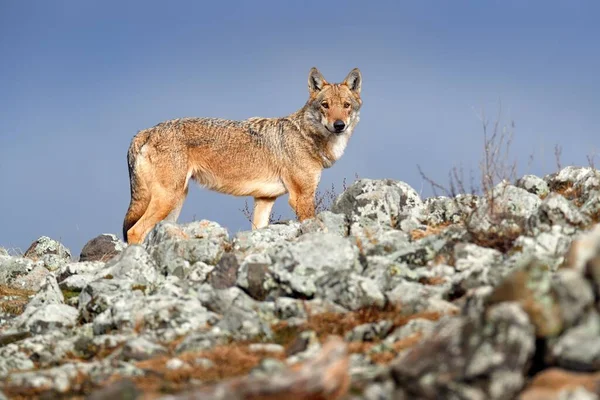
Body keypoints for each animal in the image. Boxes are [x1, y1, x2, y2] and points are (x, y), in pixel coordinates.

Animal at [123, 67, 360, 244]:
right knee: (134, 231)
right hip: (168, 199)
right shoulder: (302, 198)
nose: (339, 125)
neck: (307, 136)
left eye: (346, 106)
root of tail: (146, 131)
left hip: (175, 203)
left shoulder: (264, 200)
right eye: (325, 105)